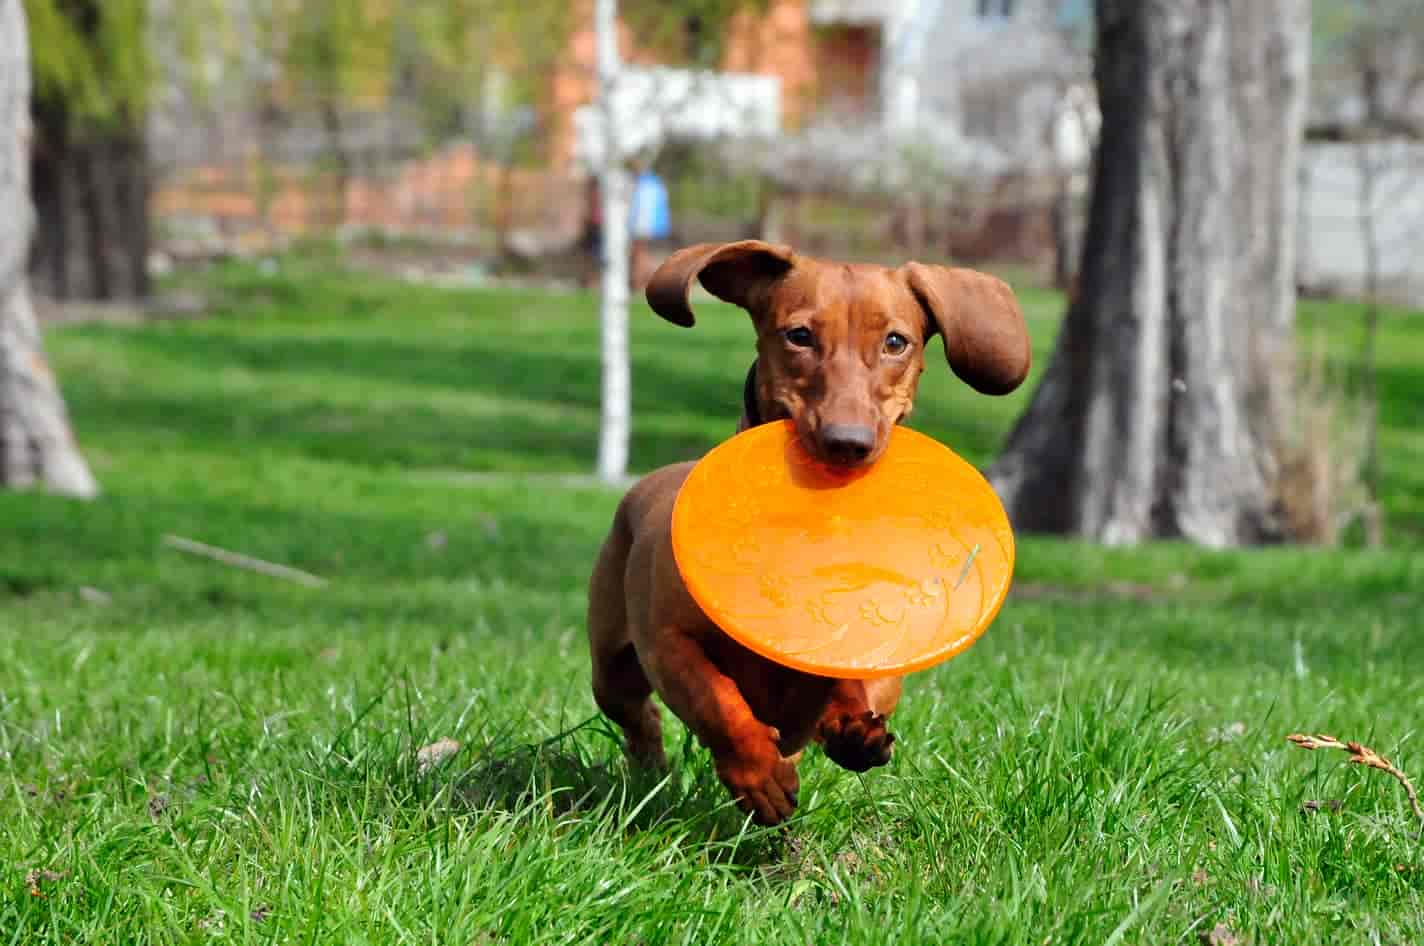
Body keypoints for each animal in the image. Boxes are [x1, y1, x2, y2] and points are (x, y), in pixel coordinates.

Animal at [583, 240, 1030, 826]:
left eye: (895, 342)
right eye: (799, 335)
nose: (848, 442)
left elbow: (861, 685)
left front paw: (853, 728)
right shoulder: (669, 643)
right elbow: (718, 702)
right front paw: (759, 775)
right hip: (612, 671)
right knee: (641, 718)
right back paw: (651, 769)